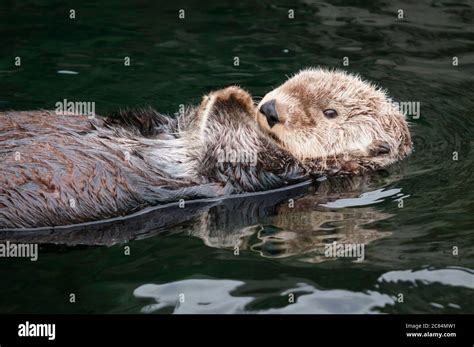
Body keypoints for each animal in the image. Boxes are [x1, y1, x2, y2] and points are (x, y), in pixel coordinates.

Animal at [0, 69, 412, 230]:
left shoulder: (272, 172)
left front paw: (234, 98)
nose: (270, 109)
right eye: (290, 83)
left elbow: (233, 148)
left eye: (330, 112)